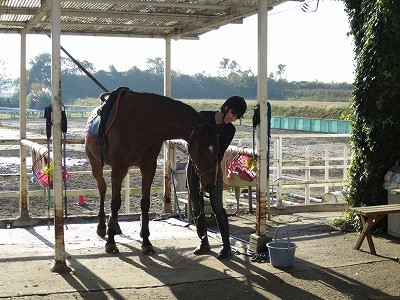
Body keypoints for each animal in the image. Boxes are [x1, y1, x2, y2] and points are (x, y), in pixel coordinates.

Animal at [85, 89, 220, 253]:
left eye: (218, 150)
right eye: (202, 150)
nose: (210, 185)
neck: (142, 123)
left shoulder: (148, 167)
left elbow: (145, 203)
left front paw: (146, 240)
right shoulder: (118, 166)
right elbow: (115, 202)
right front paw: (110, 241)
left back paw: (115, 225)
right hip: (96, 163)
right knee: (102, 188)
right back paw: (102, 226)